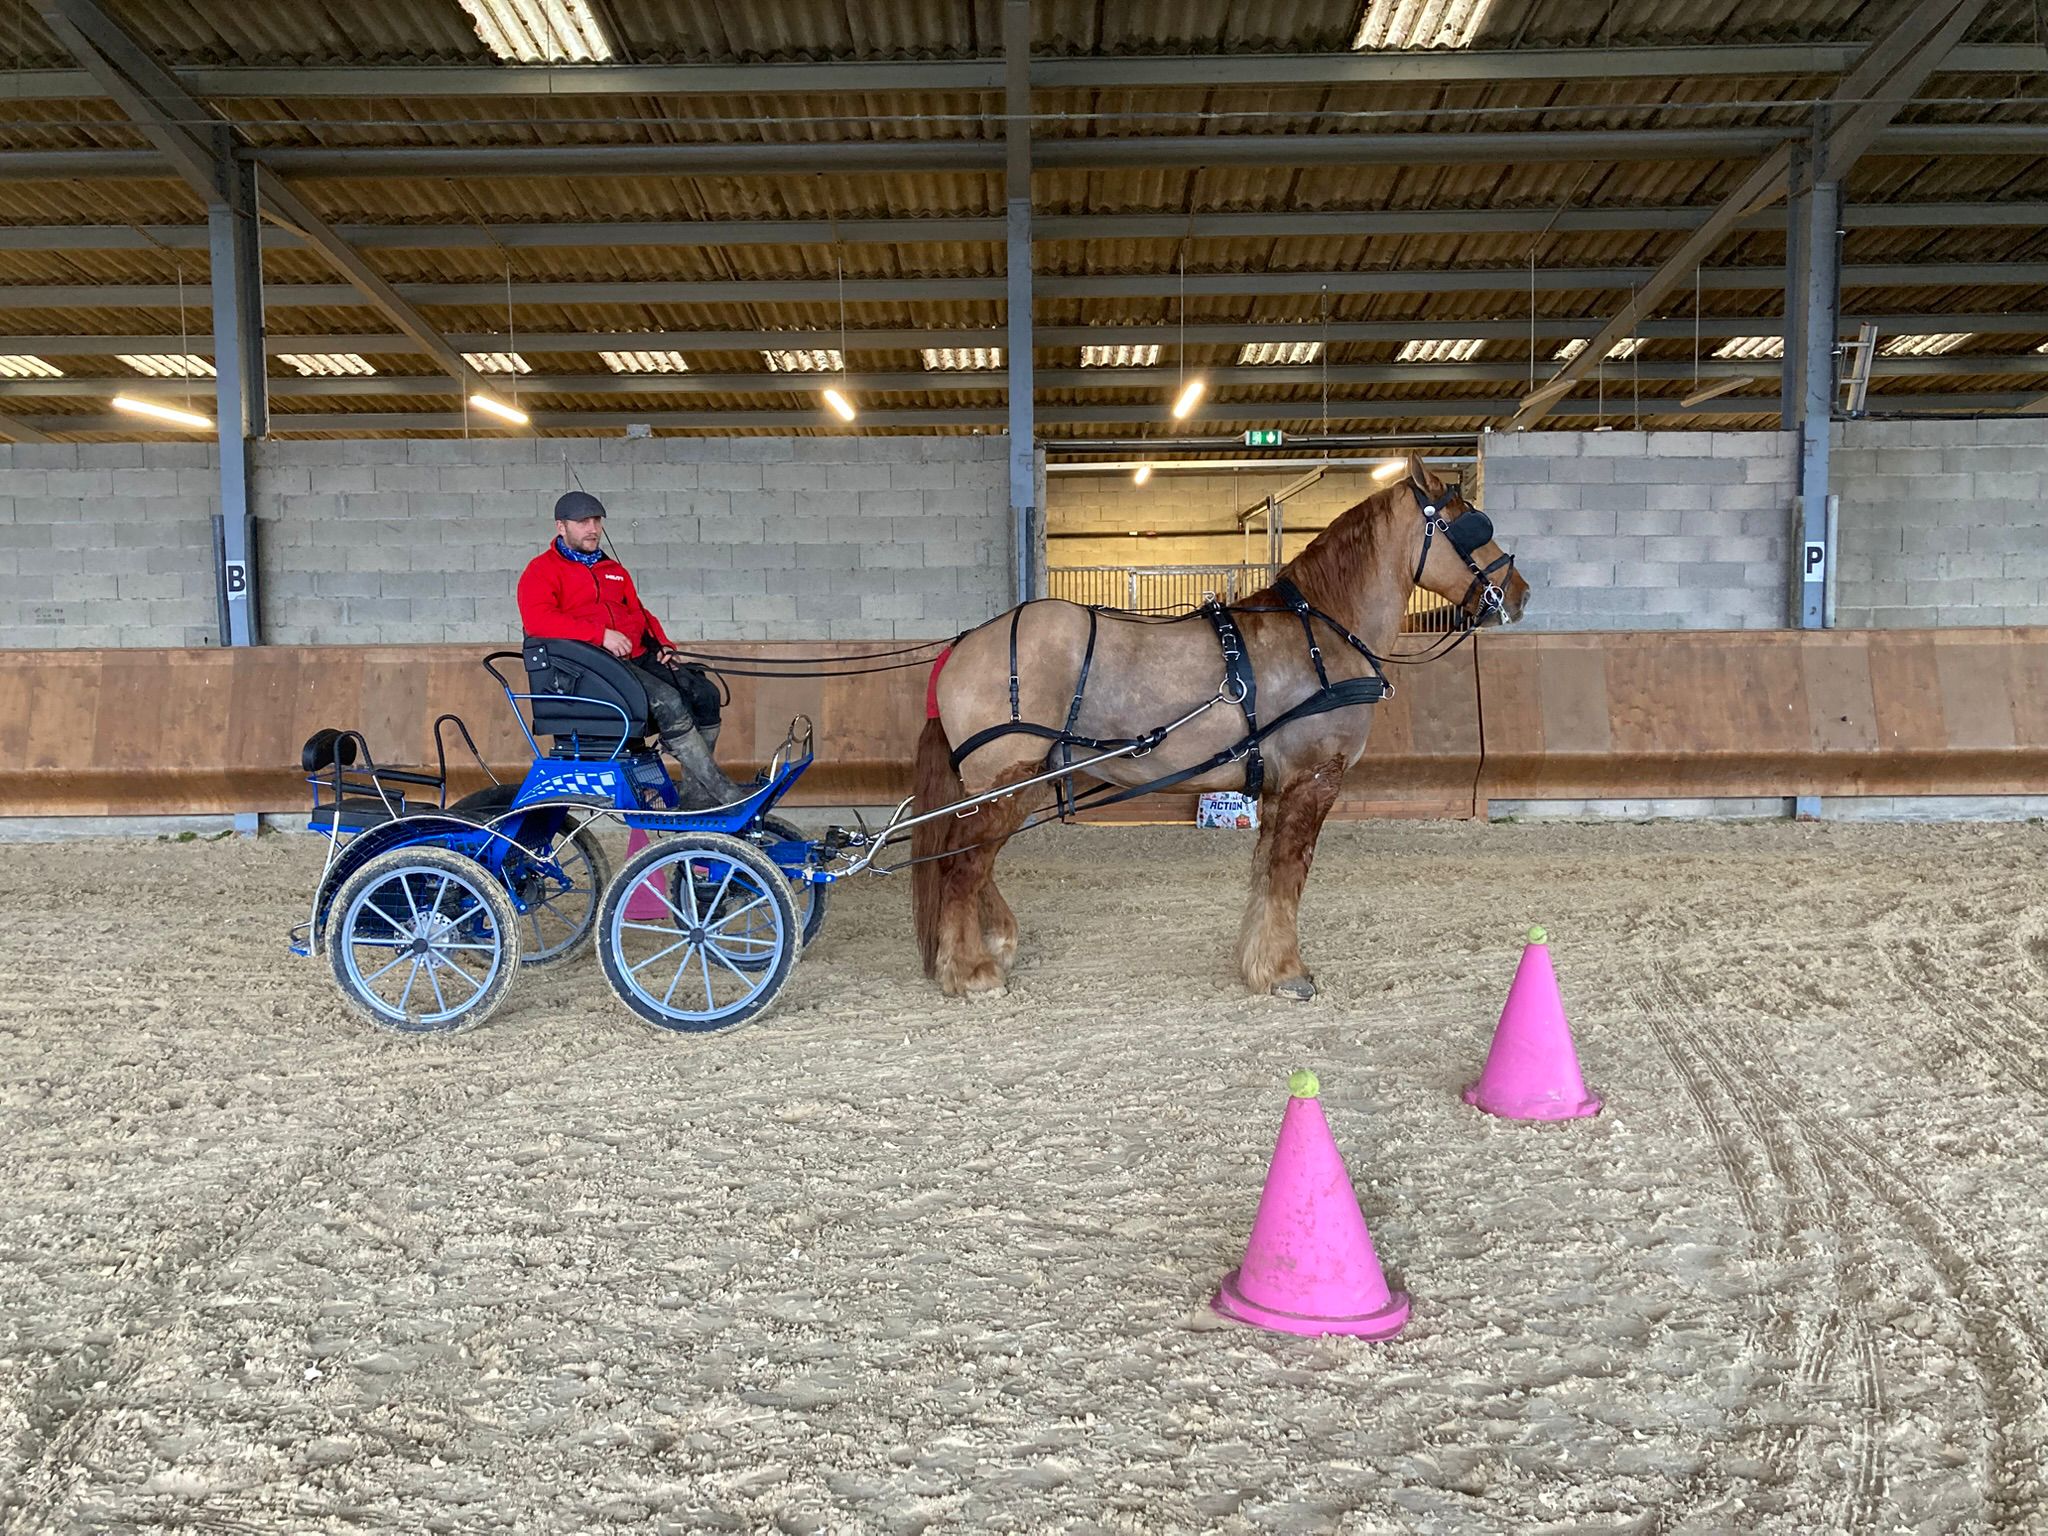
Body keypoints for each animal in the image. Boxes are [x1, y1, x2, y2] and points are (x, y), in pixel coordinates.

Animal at [909, 454, 1531, 1000]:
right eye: (1472, 523)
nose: (1519, 594)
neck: (1321, 635)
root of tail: (964, 645)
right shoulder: (1314, 779)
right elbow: (1290, 873)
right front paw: (1288, 974)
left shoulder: (1279, 788)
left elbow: (1267, 877)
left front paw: (1261, 965)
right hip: (1008, 779)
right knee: (962, 864)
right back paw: (971, 971)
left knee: (970, 859)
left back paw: (993, 943)